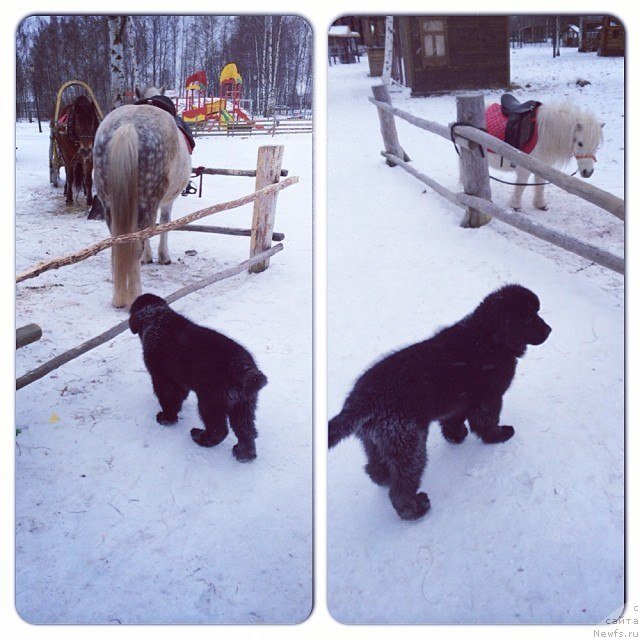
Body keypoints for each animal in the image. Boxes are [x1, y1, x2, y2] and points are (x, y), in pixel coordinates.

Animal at [130, 292, 268, 462]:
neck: (157, 317)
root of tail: (244, 369)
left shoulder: (162, 377)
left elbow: (168, 399)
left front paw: (167, 418)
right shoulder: (180, 381)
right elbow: (178, 397)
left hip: (210, 401)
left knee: (219, 429)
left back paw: (201, 438)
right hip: (243, 405)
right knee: (246, 431)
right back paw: (244, 454)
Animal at [328, 284, 552, 520]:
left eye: (536, 313)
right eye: (528, 318)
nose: (549, 330)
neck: (488, 337)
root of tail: (359, 401)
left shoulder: (458, 403)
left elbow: (453, 421)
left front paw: (457, 436)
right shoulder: (489, 397)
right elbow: (487, 422)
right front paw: (498, 436)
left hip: (376, 441)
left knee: (374, 468)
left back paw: (385, 478)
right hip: (409, 443)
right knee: (400, 488)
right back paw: (416, 509)